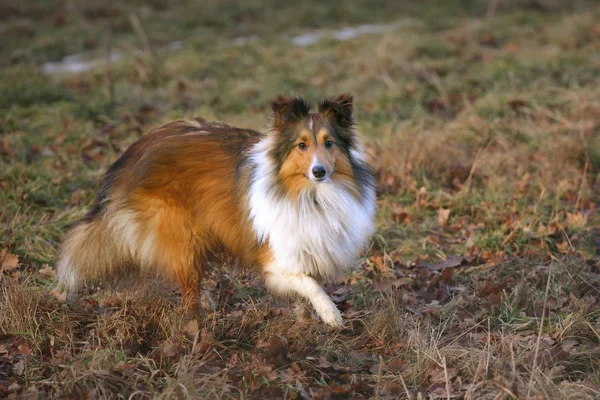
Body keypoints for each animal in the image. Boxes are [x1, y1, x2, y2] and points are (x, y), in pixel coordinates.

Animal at [56, 94, 376, 328]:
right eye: (301, 145)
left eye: (329, 143)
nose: (319, 171)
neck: (310, 195)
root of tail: (136, 149)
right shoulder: (277, 261)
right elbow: (310, 285)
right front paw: (331, 315)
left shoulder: (310, 247)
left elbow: (307, 287)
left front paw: (305, 320)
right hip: (182, 234)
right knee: (187, 288)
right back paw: (197, 326)